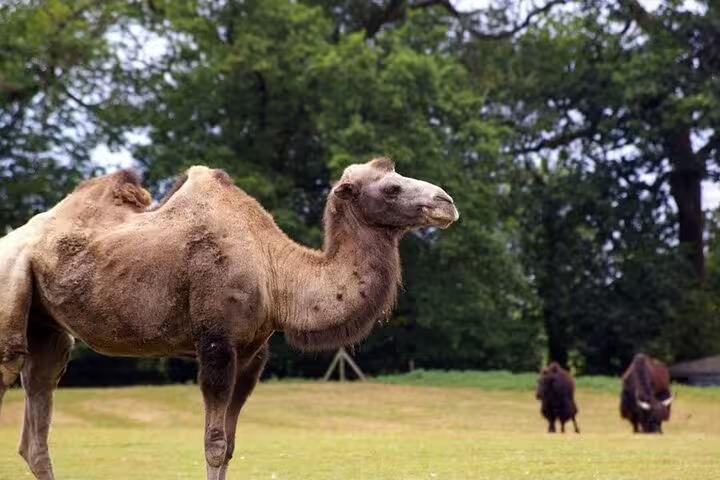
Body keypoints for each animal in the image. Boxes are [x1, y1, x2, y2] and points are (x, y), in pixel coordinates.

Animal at [0, 157, 458, 479]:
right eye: (393, 186)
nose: (446, 202)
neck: (275, 271)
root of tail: (14, 237)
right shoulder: (216, 344)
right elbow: (215, 444)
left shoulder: (252, 354)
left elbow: (232, 444)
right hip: (11, 287)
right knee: (11, 367)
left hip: (46, 326)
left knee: (37, 416)